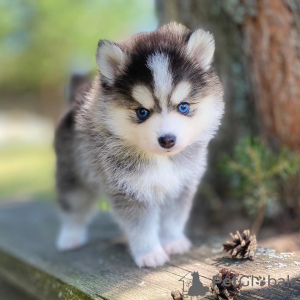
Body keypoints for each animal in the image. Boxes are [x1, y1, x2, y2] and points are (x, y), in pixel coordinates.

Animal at [54, 22, 223, 268]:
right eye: (142, 112)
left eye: (183, 107)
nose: (167, 139)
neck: (161, 159)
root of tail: (75, 99)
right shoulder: (130, 190)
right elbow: (141, 227)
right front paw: (150, 253)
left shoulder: (181, 184)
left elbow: (173, 219)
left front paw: (173, 242)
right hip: (73, 175)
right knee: (73, 208)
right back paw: (70, 237)